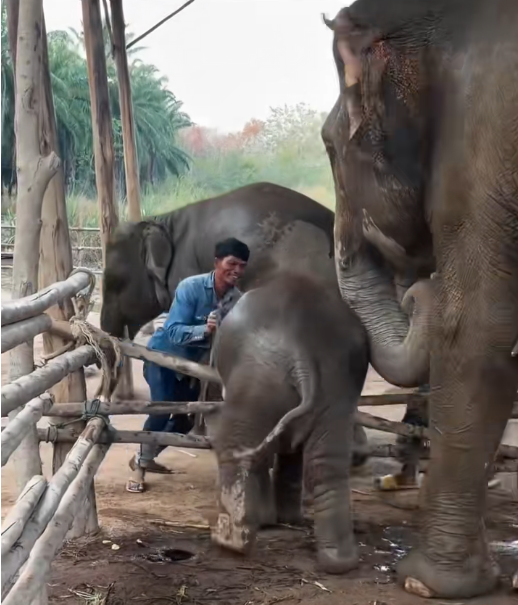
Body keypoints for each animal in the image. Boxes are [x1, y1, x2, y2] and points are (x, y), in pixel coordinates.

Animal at [210, 272, 370, 574]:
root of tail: (302, 354)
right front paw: (284, 519)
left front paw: (268, 520)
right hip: (337, 386)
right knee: (326, 465)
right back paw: (340, 562)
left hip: (259, 379)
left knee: (238, 446)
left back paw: (230, 541)